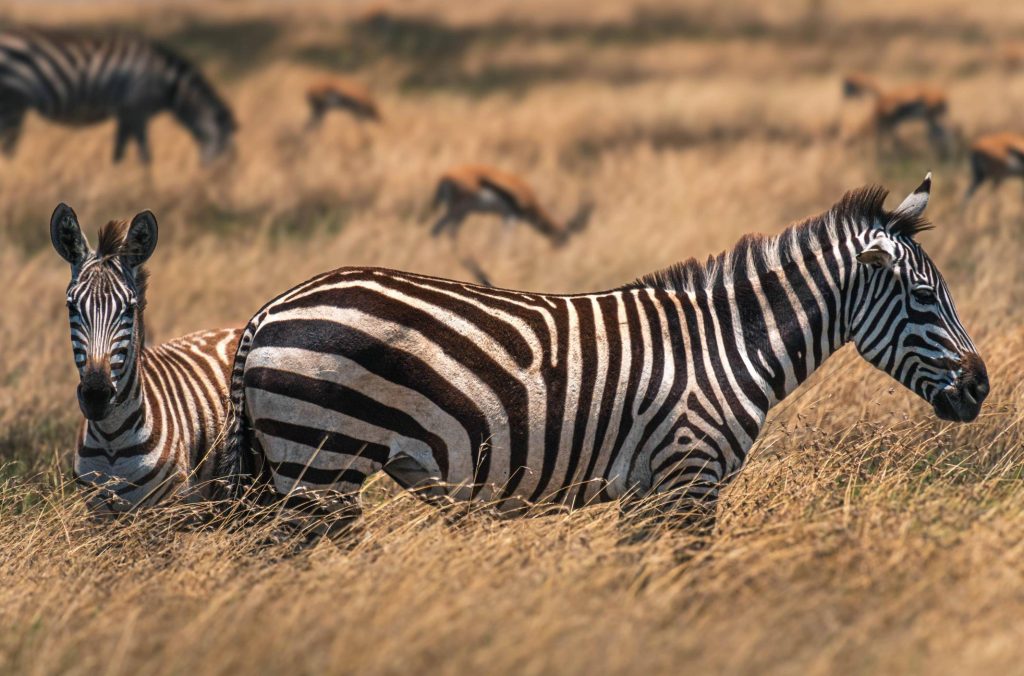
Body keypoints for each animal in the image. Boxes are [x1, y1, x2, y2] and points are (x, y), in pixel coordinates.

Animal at [0, 29, 236, 164]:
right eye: (225, 151)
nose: (217, 181)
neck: (169, 82)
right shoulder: (137, 111)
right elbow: (145, 156)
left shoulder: (125, 114)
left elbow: (118, 154)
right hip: (12, 103)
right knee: (9, 149)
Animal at [51, 203, 241, 512]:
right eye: (71, 307)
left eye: (130, 308)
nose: (96, 395)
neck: (111, 440)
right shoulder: (98, 514)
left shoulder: (170, 509)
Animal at [218, 174, 988, 541]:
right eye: (926, 298)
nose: (981, 388)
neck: (729, 345)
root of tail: (267, 312)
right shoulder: (690, 477)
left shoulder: (650, 490)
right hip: (320, 463)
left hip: (292, 471)